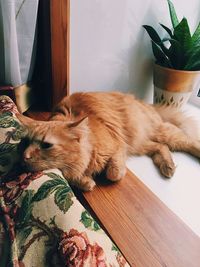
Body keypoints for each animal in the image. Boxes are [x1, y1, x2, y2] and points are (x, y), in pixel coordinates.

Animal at [17, 93, 200, 192]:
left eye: (46, 145)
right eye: (25, 142)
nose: (24, 156)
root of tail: (144, 102)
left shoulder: (119, 145)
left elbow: (113, 173)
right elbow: (76, 179)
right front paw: (86, 182)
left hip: (159, 132)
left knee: (189, 141)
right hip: (140, 143)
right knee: (161, 147)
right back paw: (168, 166)